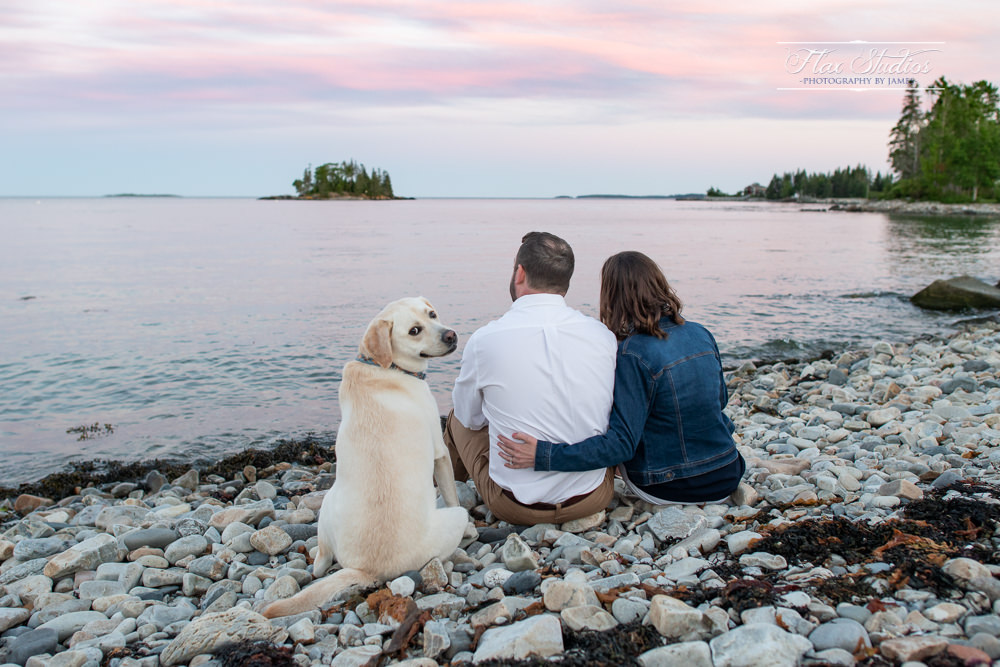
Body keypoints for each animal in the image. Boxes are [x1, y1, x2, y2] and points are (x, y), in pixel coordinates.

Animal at [264, 300, 470, 620]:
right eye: (414, 331)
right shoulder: (440, 452)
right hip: (455, 519)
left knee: (320, 565)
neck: (384, 366)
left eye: (432, 314)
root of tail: (366, 568)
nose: (451, 335)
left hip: (328, 503)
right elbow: (450, 491)